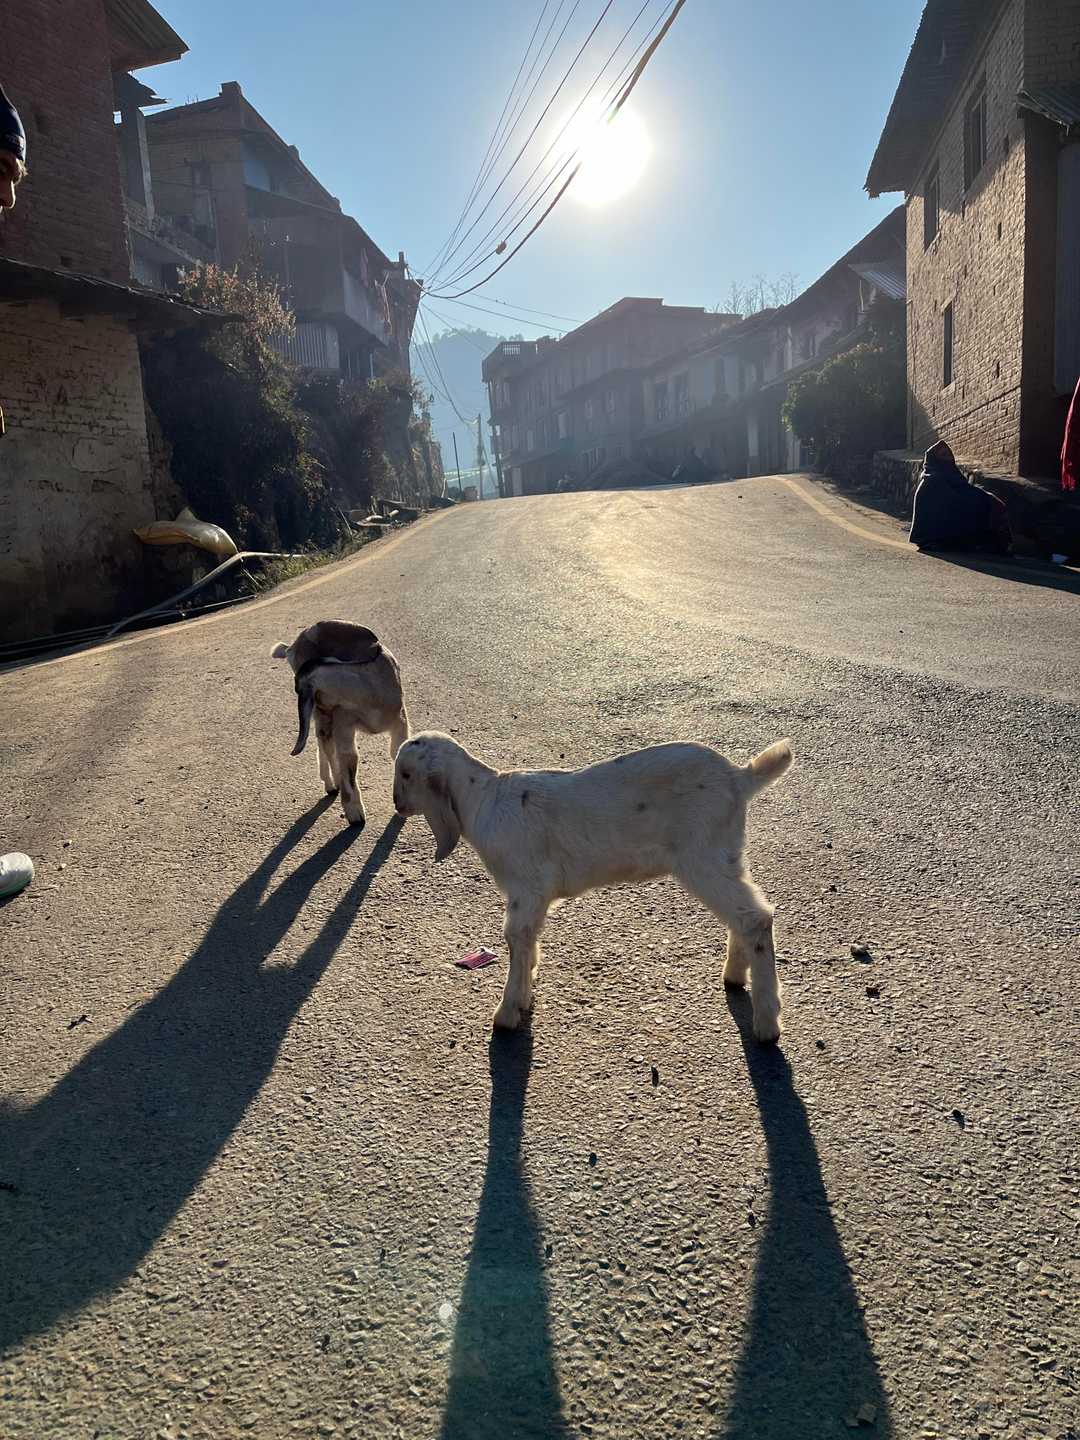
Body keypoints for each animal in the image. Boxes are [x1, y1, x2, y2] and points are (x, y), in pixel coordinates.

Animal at [271, 620, 409, 828]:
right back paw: (331, 784)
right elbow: (349, 758)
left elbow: (397, 751)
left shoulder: (400, 720)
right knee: (325, 744)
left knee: (325, 741)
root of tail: (293, 645)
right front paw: (355, 814)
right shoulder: (343, 719)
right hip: (326, 719)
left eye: (299, 687)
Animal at [393, 731, 793, 1042]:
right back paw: (735, 975)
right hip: (724, 854)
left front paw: (506, 1014)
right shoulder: (534, 897)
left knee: (755, 917)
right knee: (743, 914)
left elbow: (516, 939)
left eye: (407, 774)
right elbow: (528, 941)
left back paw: (767, 1022)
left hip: (702, 856)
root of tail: (739, 778)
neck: (483, 799)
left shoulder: (526, 887)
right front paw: (524, 994)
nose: (397, 804)